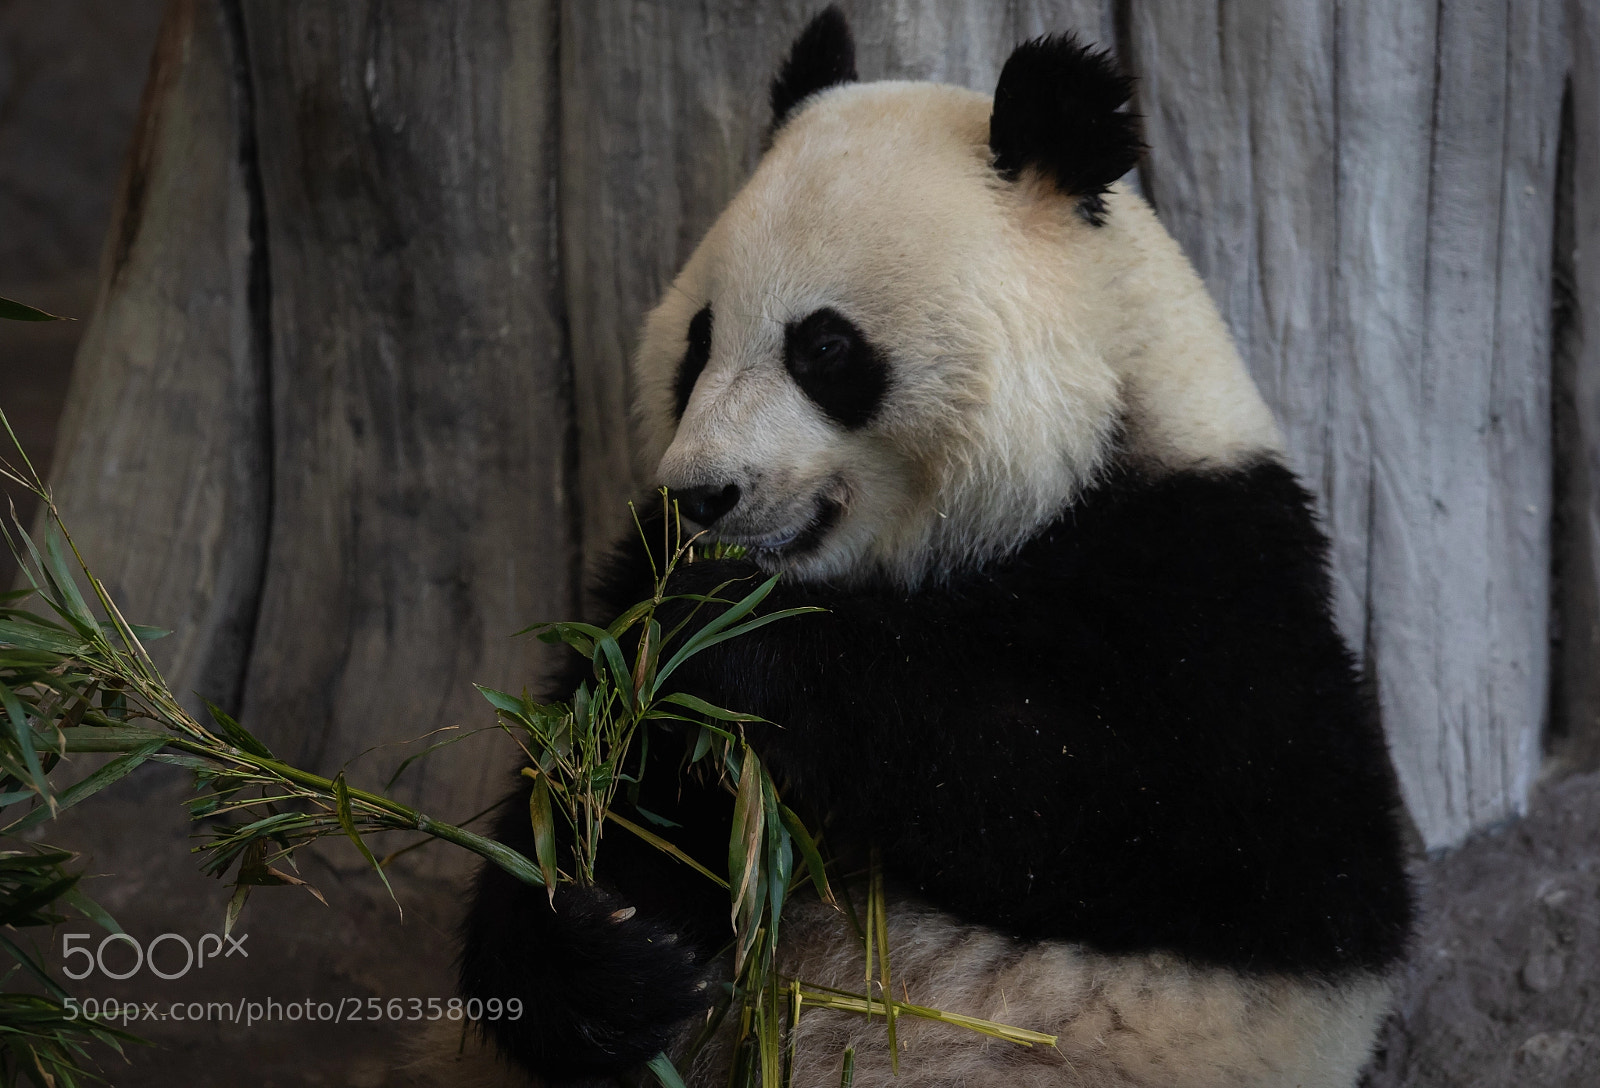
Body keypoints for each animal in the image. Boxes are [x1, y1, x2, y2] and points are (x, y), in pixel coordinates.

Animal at [458, 8, 1413, 1087]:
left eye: (825, 348)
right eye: (698, 341)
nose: (704, 492)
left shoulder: (1215, 576)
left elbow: (1186, 818)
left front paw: (730, 640)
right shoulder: (645, 572)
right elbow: (627, 776)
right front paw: (610, 958)